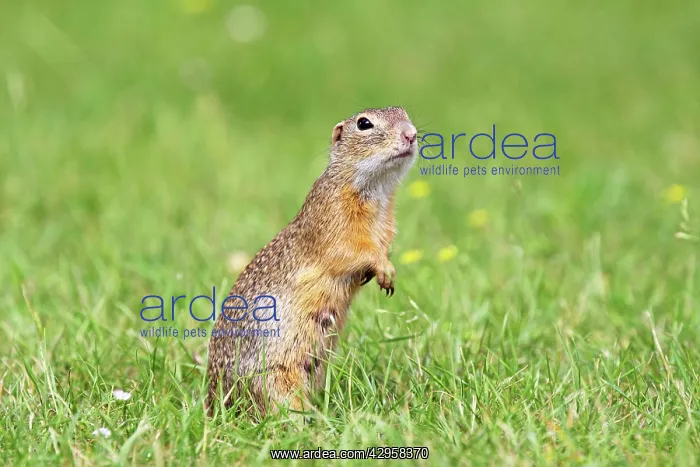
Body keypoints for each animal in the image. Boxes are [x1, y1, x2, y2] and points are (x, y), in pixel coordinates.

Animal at [206, 106, 418, 416]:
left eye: (404, 113)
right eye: (364, 123)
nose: (411, 134)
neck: (377, 191)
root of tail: (213, 403)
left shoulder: (387, 226)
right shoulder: (334, 220)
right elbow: (353, 250)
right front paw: (384, 269)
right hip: (276, 380)